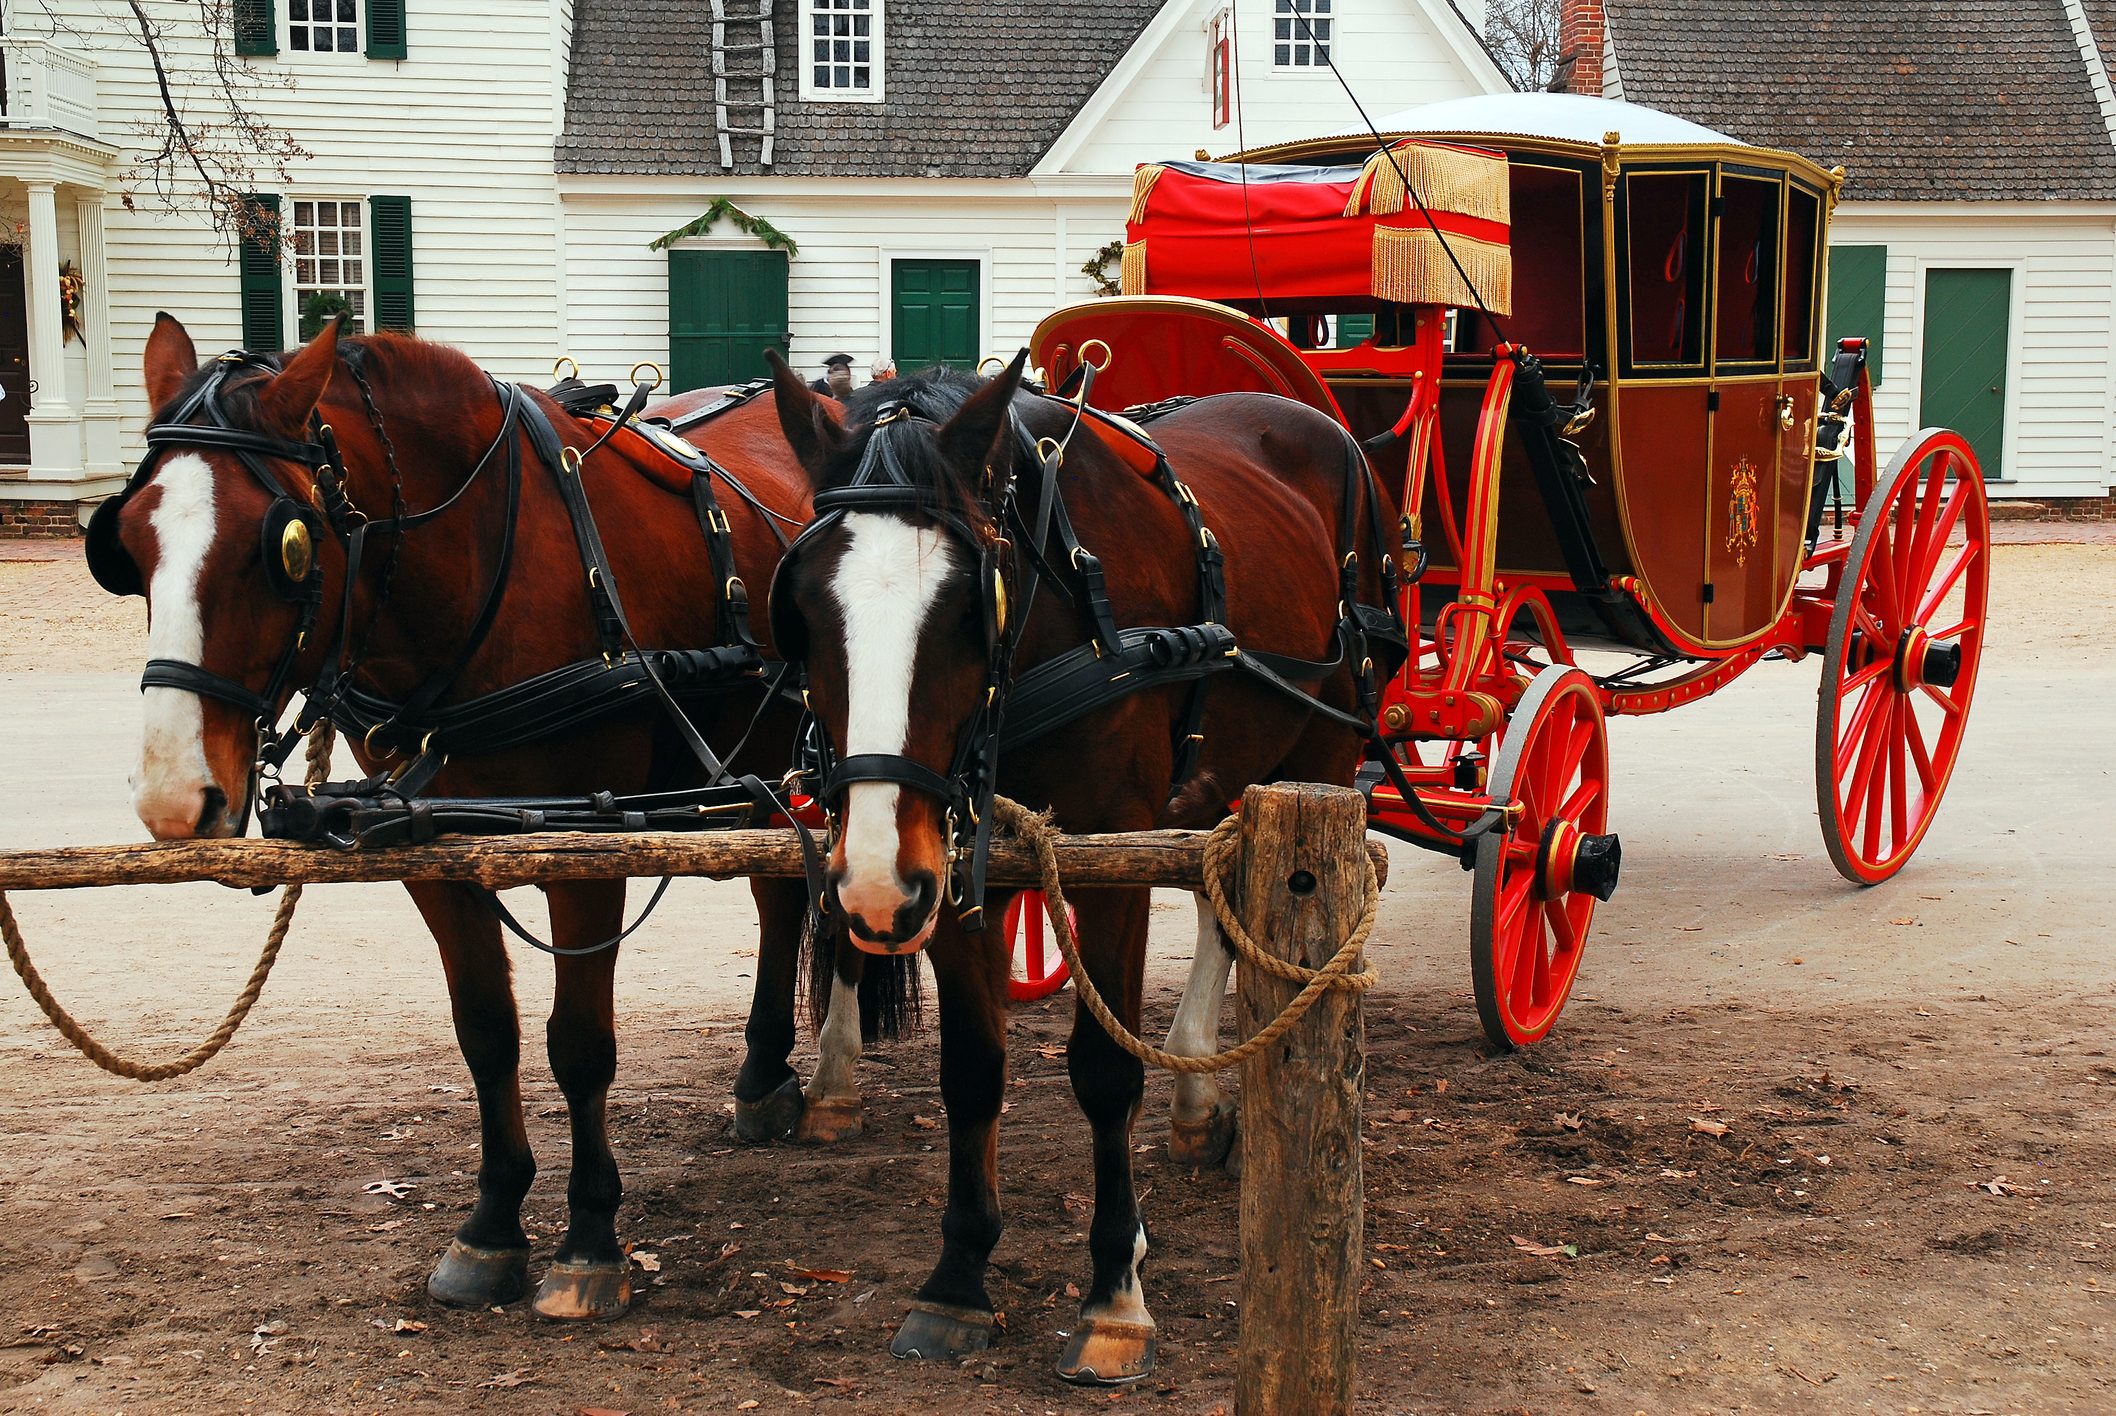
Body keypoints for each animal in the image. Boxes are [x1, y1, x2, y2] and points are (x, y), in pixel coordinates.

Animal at [91, 315, 898, 1321]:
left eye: (281, 549)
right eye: (126, 544)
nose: (174, 795)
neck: (489, 567)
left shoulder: (585, 846)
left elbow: (579, 1045)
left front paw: (590, 1240)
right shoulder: (432, 849)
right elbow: (486, 1033)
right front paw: (492, 1226)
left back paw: (831, 1080)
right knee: (779, 895)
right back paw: (762, 1076)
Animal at [764, 350, 1403, 1382]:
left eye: (965, 609)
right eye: (805, 611)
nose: (871, 886)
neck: (1058, 614)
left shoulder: (1109, 862)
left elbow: (1104, 1071)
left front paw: (1113, 1294)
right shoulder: (957, 867)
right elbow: (972, 1068)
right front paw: (958, 1277)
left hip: (1320, 754)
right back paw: (1196, 1097)